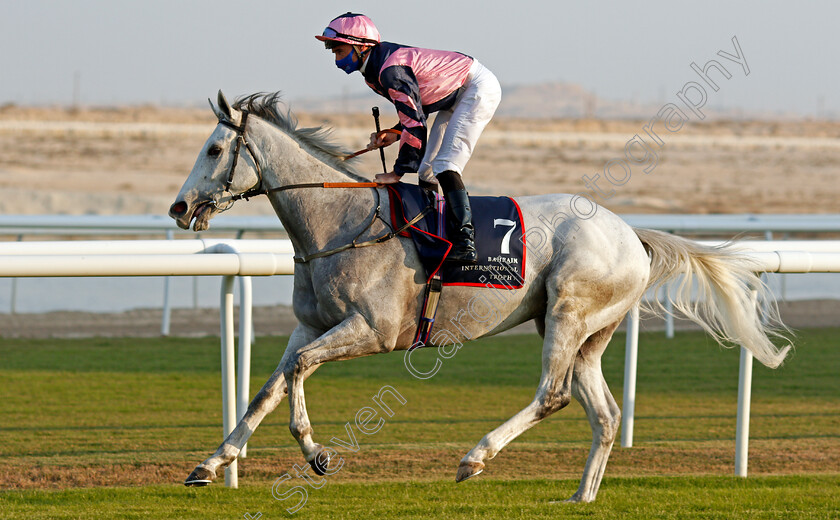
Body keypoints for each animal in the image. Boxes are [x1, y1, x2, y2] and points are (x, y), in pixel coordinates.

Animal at [169, 93, 788, 504]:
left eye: (215, 148)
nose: (179, 207)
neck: (340, 223)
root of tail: (631, 234)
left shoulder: (371, 331)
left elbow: (296, 371)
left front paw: (316, 453)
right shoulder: (312, 324)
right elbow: (268, 389)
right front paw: (211, 462)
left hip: (567, 310)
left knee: (553, 395)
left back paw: (475, 457)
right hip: (591, 332)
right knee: (606, 413)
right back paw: (580, 497)